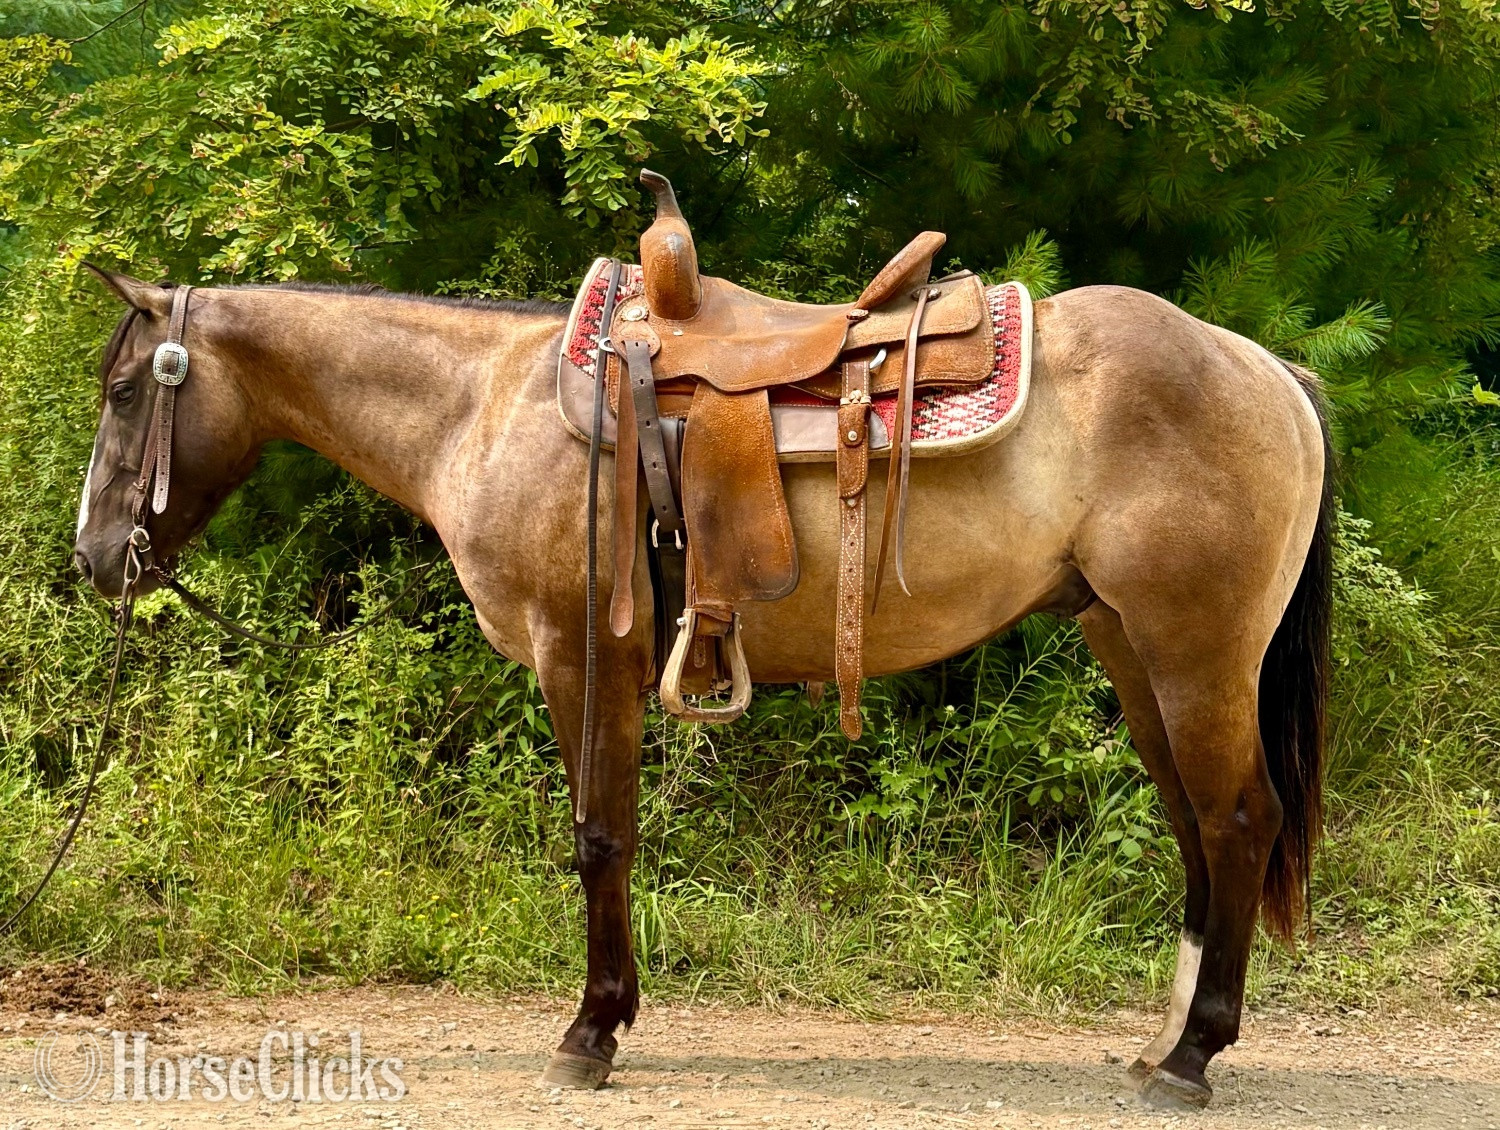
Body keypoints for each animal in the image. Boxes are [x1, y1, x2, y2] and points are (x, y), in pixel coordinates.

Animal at [72, 264, 1331, 1110]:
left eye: (128, 386)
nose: (91, 558)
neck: (484, 405)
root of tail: (1266, 367)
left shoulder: (580, 656)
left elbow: (598, 835)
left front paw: (590, 1030)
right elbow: (611, 837)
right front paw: (611, 1013)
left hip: (1194, 652)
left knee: (1238, 819)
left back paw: (1192, 1055)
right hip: (1133, 647)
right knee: (1196, 826)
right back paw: (1163, 1038)